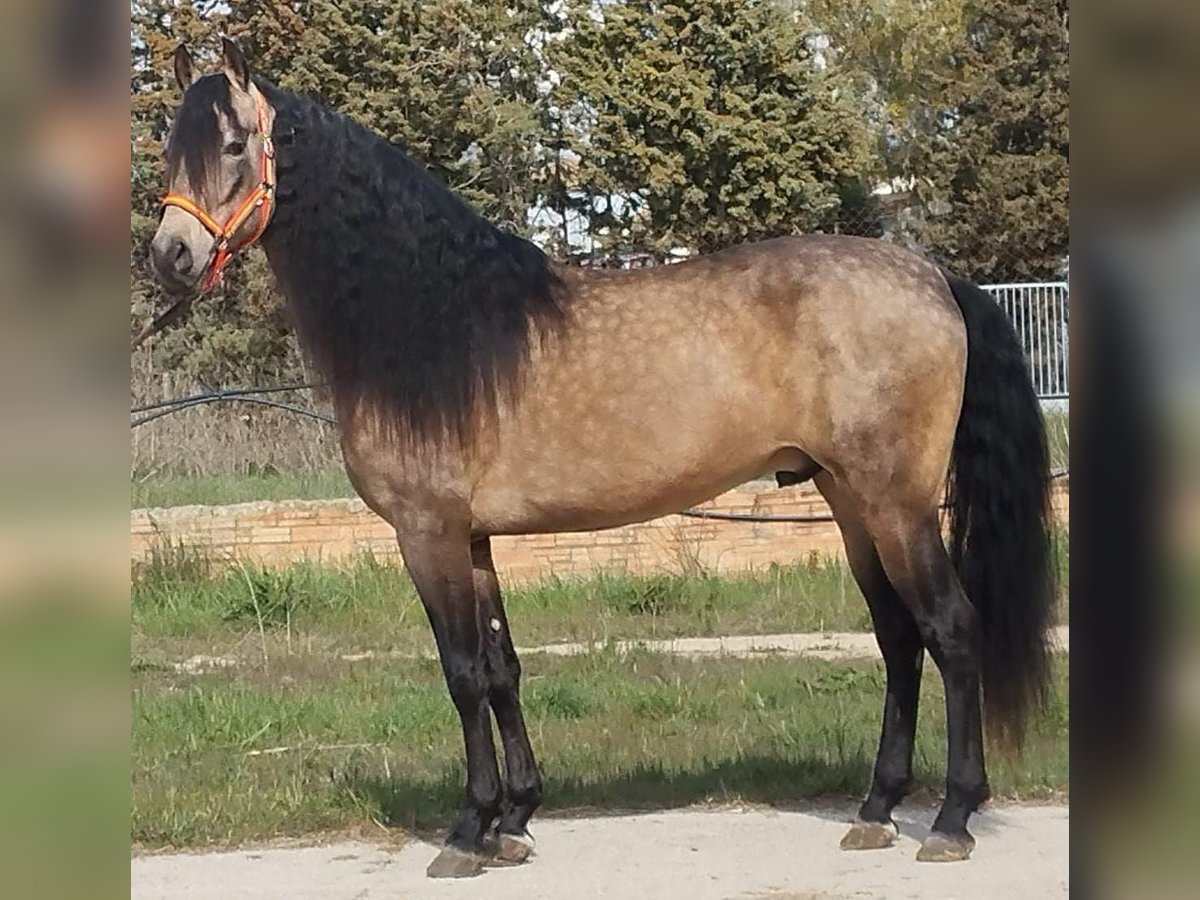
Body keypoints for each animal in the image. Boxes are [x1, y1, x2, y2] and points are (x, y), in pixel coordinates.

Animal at [147, 38, 1051, 878]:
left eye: (233, 145)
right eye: (170, 147)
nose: (170, 256)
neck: (440, 325)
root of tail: (934, 278)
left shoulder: (426, 533)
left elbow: (462, 673)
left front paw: (467, 832)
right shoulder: (473, 540)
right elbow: (502, 667)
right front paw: (515, 820)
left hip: (898, 505)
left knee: (951, 629)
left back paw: (952, 819)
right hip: (849, 500)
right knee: (898, 639)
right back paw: (876, 809)